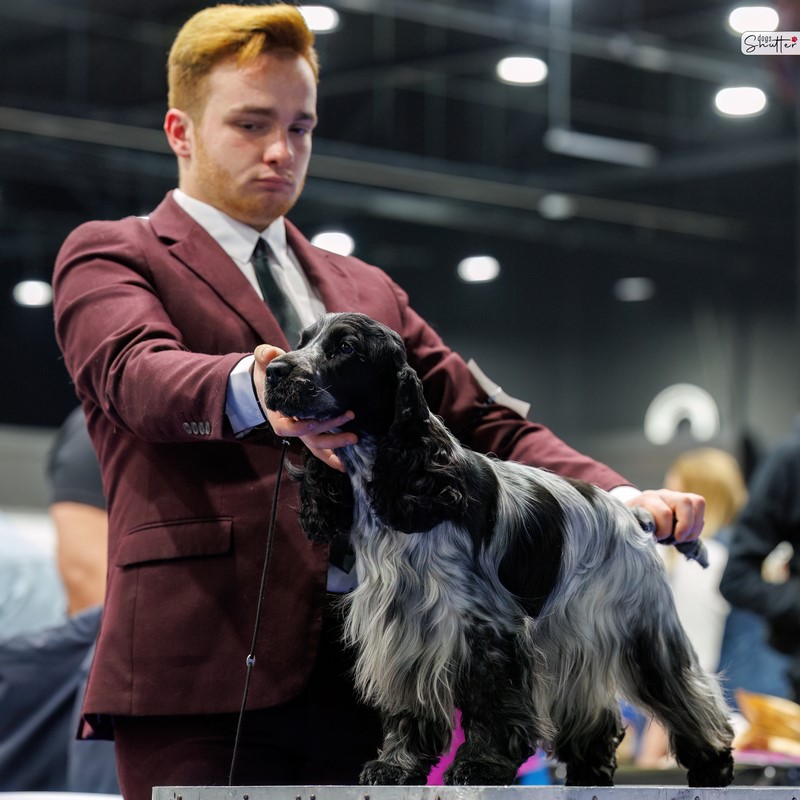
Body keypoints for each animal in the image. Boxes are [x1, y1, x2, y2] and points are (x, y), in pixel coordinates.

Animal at [265, 312, 735, 788]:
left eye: (346, 348)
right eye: (302, 341)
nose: (273, 370)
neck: (415, 478)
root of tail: (633, 515)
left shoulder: (489, 626)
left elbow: (492, 701)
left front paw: (481, 765)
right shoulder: (406, 622)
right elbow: (410, 706)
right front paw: (396, 766)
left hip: (643, 629)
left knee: (690, 695)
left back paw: (713, 763)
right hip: (576, 633)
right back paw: (589, 769)